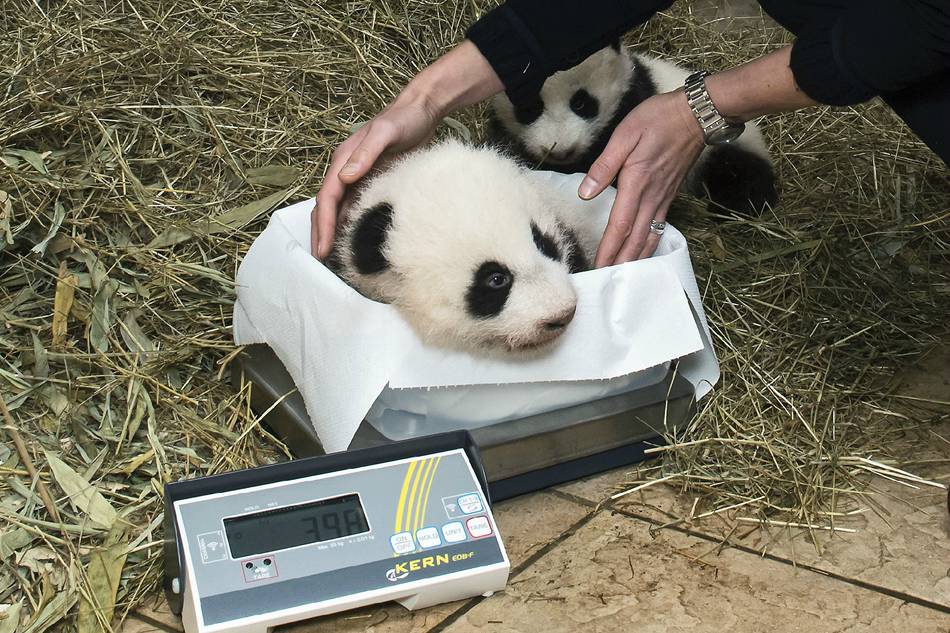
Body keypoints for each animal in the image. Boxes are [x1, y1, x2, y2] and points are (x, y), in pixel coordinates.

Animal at [488, 42, 778, 216]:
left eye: (582, 103)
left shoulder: (630, 104)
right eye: (530, 108)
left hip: (723, 148)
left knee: (740, 176)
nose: (561, 151)